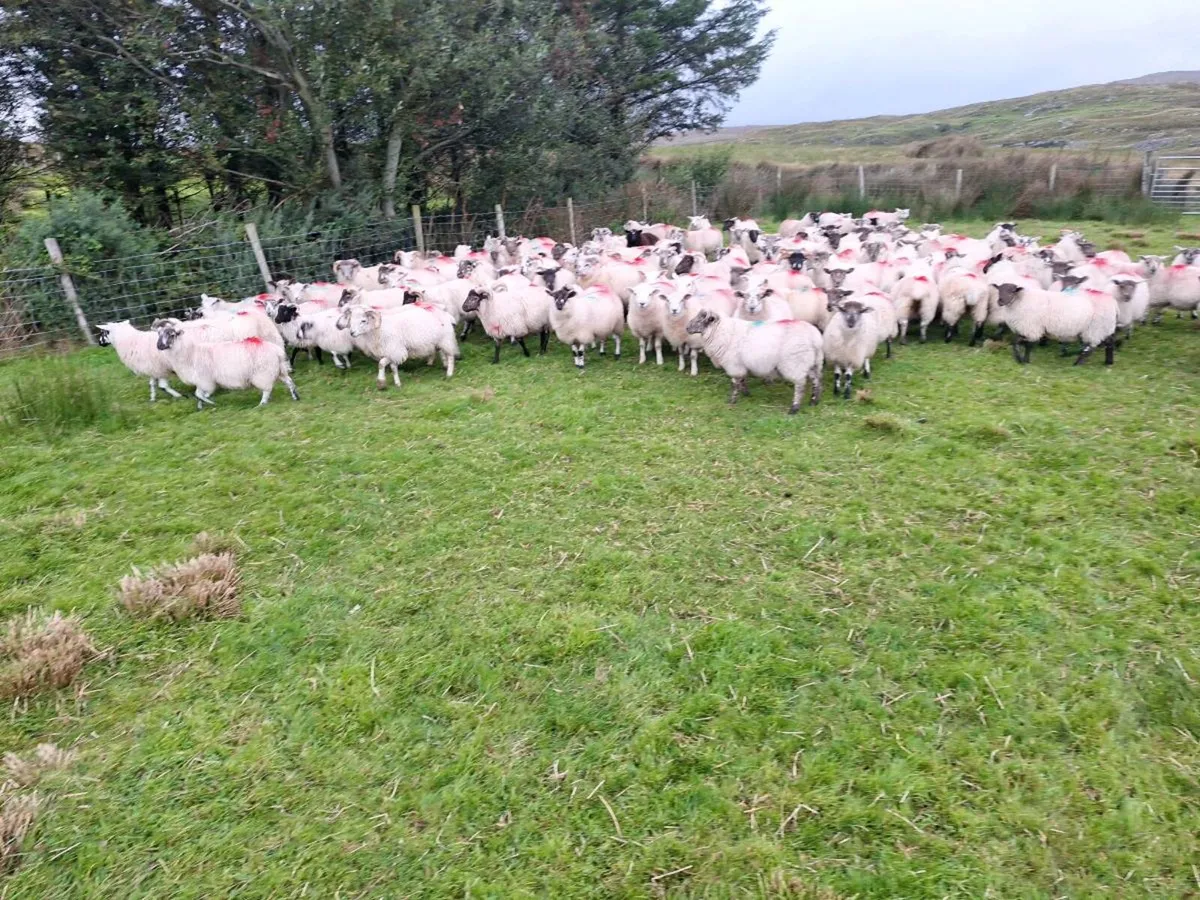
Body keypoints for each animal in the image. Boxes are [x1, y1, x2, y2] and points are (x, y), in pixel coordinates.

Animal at [154, 325, 298, 409]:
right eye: (158, 334)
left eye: (171, 335)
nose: (159, 346)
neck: (190, 353)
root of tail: (277, 350)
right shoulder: (201, 381)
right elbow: (198, 394)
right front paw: (201, 407)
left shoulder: (206, 380)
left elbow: (200, 394)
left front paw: (210, 402)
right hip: (279, 371)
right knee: (289, 381)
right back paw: (295, 397)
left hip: (263, 373)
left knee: (267, 390)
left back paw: (262, 404)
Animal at [684, 309, 823, 413]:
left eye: (701, 319)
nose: (687, 328)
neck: (720, 331)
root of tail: (815, 339)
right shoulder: (740, 365)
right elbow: (742, 380)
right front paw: (746, 393)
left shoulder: (733, 365)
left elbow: (735, 383)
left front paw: (732, 400)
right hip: (813, 363)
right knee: (816, 381)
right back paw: (813, 401)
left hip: (795, 364)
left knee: (800, 385)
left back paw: (794, 408)